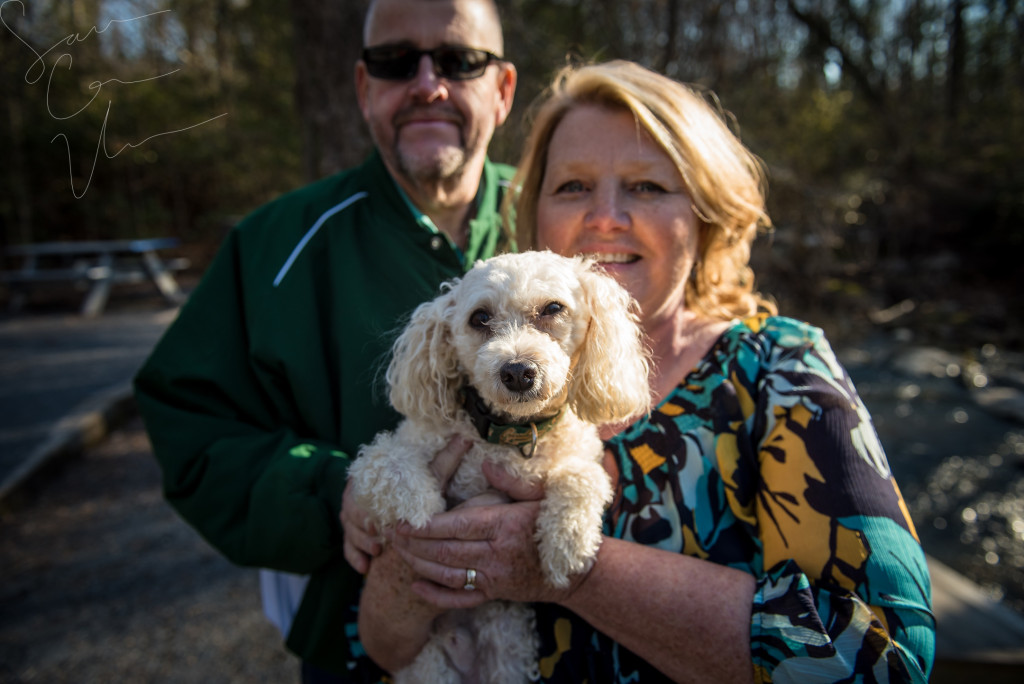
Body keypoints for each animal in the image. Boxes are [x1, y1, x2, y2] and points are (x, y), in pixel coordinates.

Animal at [344, 248, 647, 679]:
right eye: (480, 318)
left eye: (553, 308)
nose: (518, 371)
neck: (512, 436)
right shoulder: (392, 451)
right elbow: (384, 462)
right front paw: (422, 506)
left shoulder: (579, 458)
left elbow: (583, 479)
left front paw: (567, 545)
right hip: (431, 664)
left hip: (506, 650)